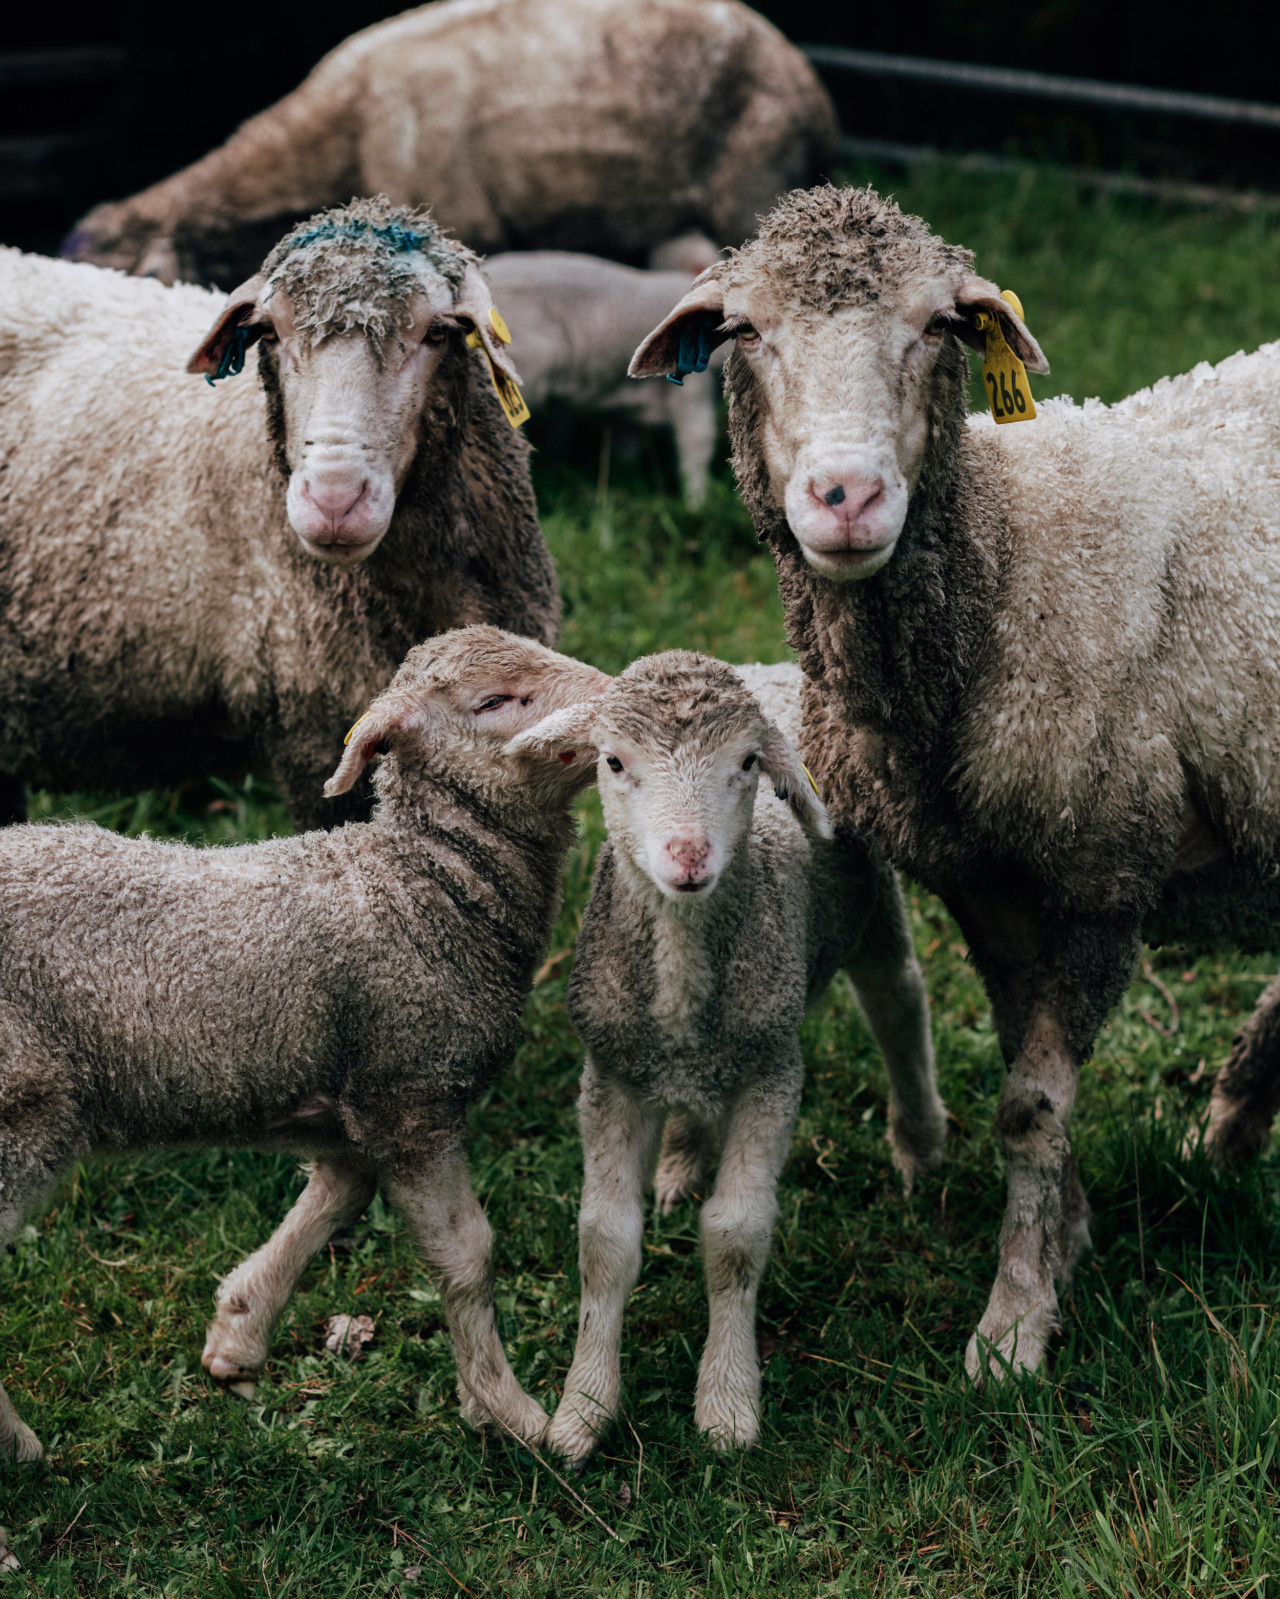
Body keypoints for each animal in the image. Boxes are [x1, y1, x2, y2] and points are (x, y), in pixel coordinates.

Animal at [0, 626, 611, 1463]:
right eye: (494, 700)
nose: (625, 701)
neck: (421, 886)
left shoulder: (349, 1100)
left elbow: (335, 1195)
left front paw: (238, 1333)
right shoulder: (409, 1086)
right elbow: (466, 1254)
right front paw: (511, 1413)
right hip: (23, 1113)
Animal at [503, 652, 942, 1461]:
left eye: (747, 764)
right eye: (613, 761)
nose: (688, 857)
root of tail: (774, 665)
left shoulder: (772, 1071)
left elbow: (735, 1237)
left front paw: (728, 1404)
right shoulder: (610, 1074)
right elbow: (603, 1242)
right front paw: (583, 1410)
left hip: (870, 906)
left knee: (898, 1002)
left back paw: (920, 1144)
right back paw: (681, 1163)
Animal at [630, 182, 1280, 1383]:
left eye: (939, 326)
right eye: (743, 330)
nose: (844, 495)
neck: (1006, 562)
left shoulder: (1099, 871)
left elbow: (1030, 1104)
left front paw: (1012, 1325)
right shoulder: (987, 882)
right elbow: (1026, 1076)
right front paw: (1065, 1237)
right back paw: (1228, 1129)